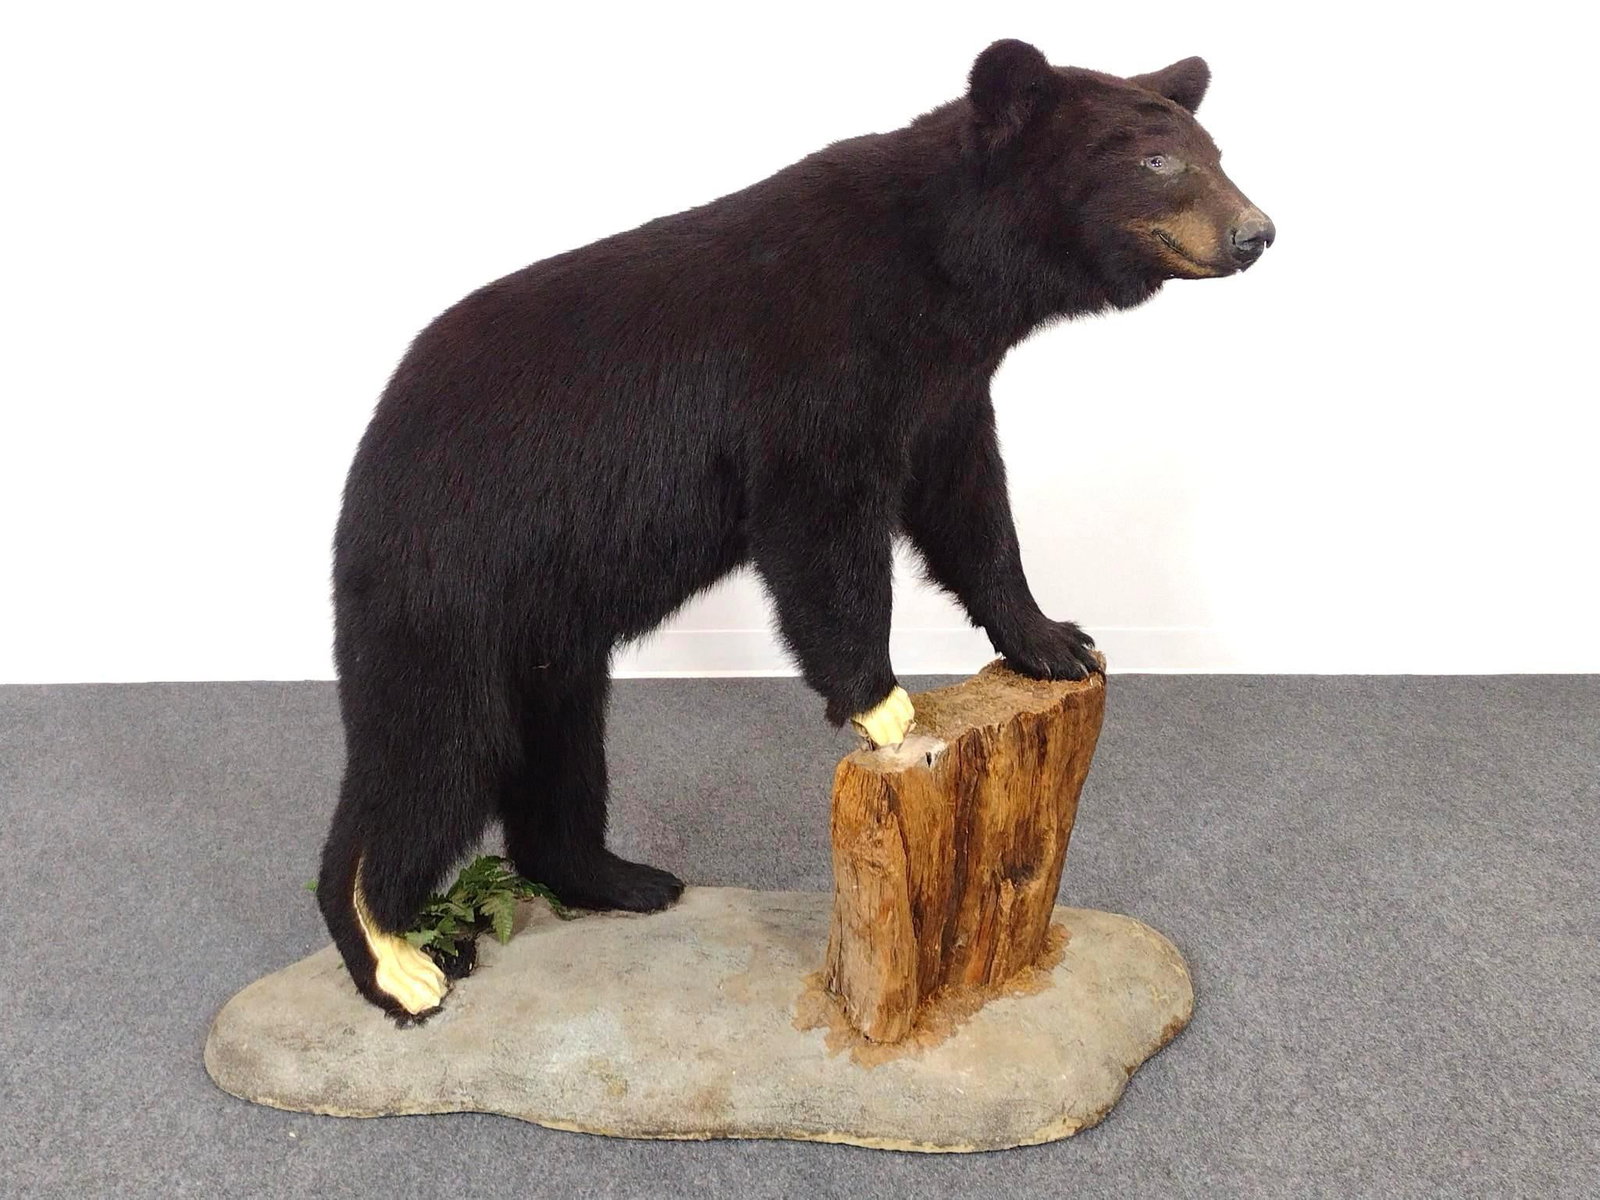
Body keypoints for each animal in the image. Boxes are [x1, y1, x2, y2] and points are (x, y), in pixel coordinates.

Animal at [317, 39, 1274, 1019]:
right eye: (1157, 161)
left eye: (1214, 151)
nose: (1257, 232)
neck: (945, 272)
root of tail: (367, 462)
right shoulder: (818, 365)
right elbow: (822, 527)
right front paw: (884, 706)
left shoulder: (944, 389)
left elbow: (970, 510)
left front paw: (1055, 641)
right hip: (451, 576)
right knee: (438, 750)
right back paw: (395, 956)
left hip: (548, 624)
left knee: (561, 743)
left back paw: (622, 878)